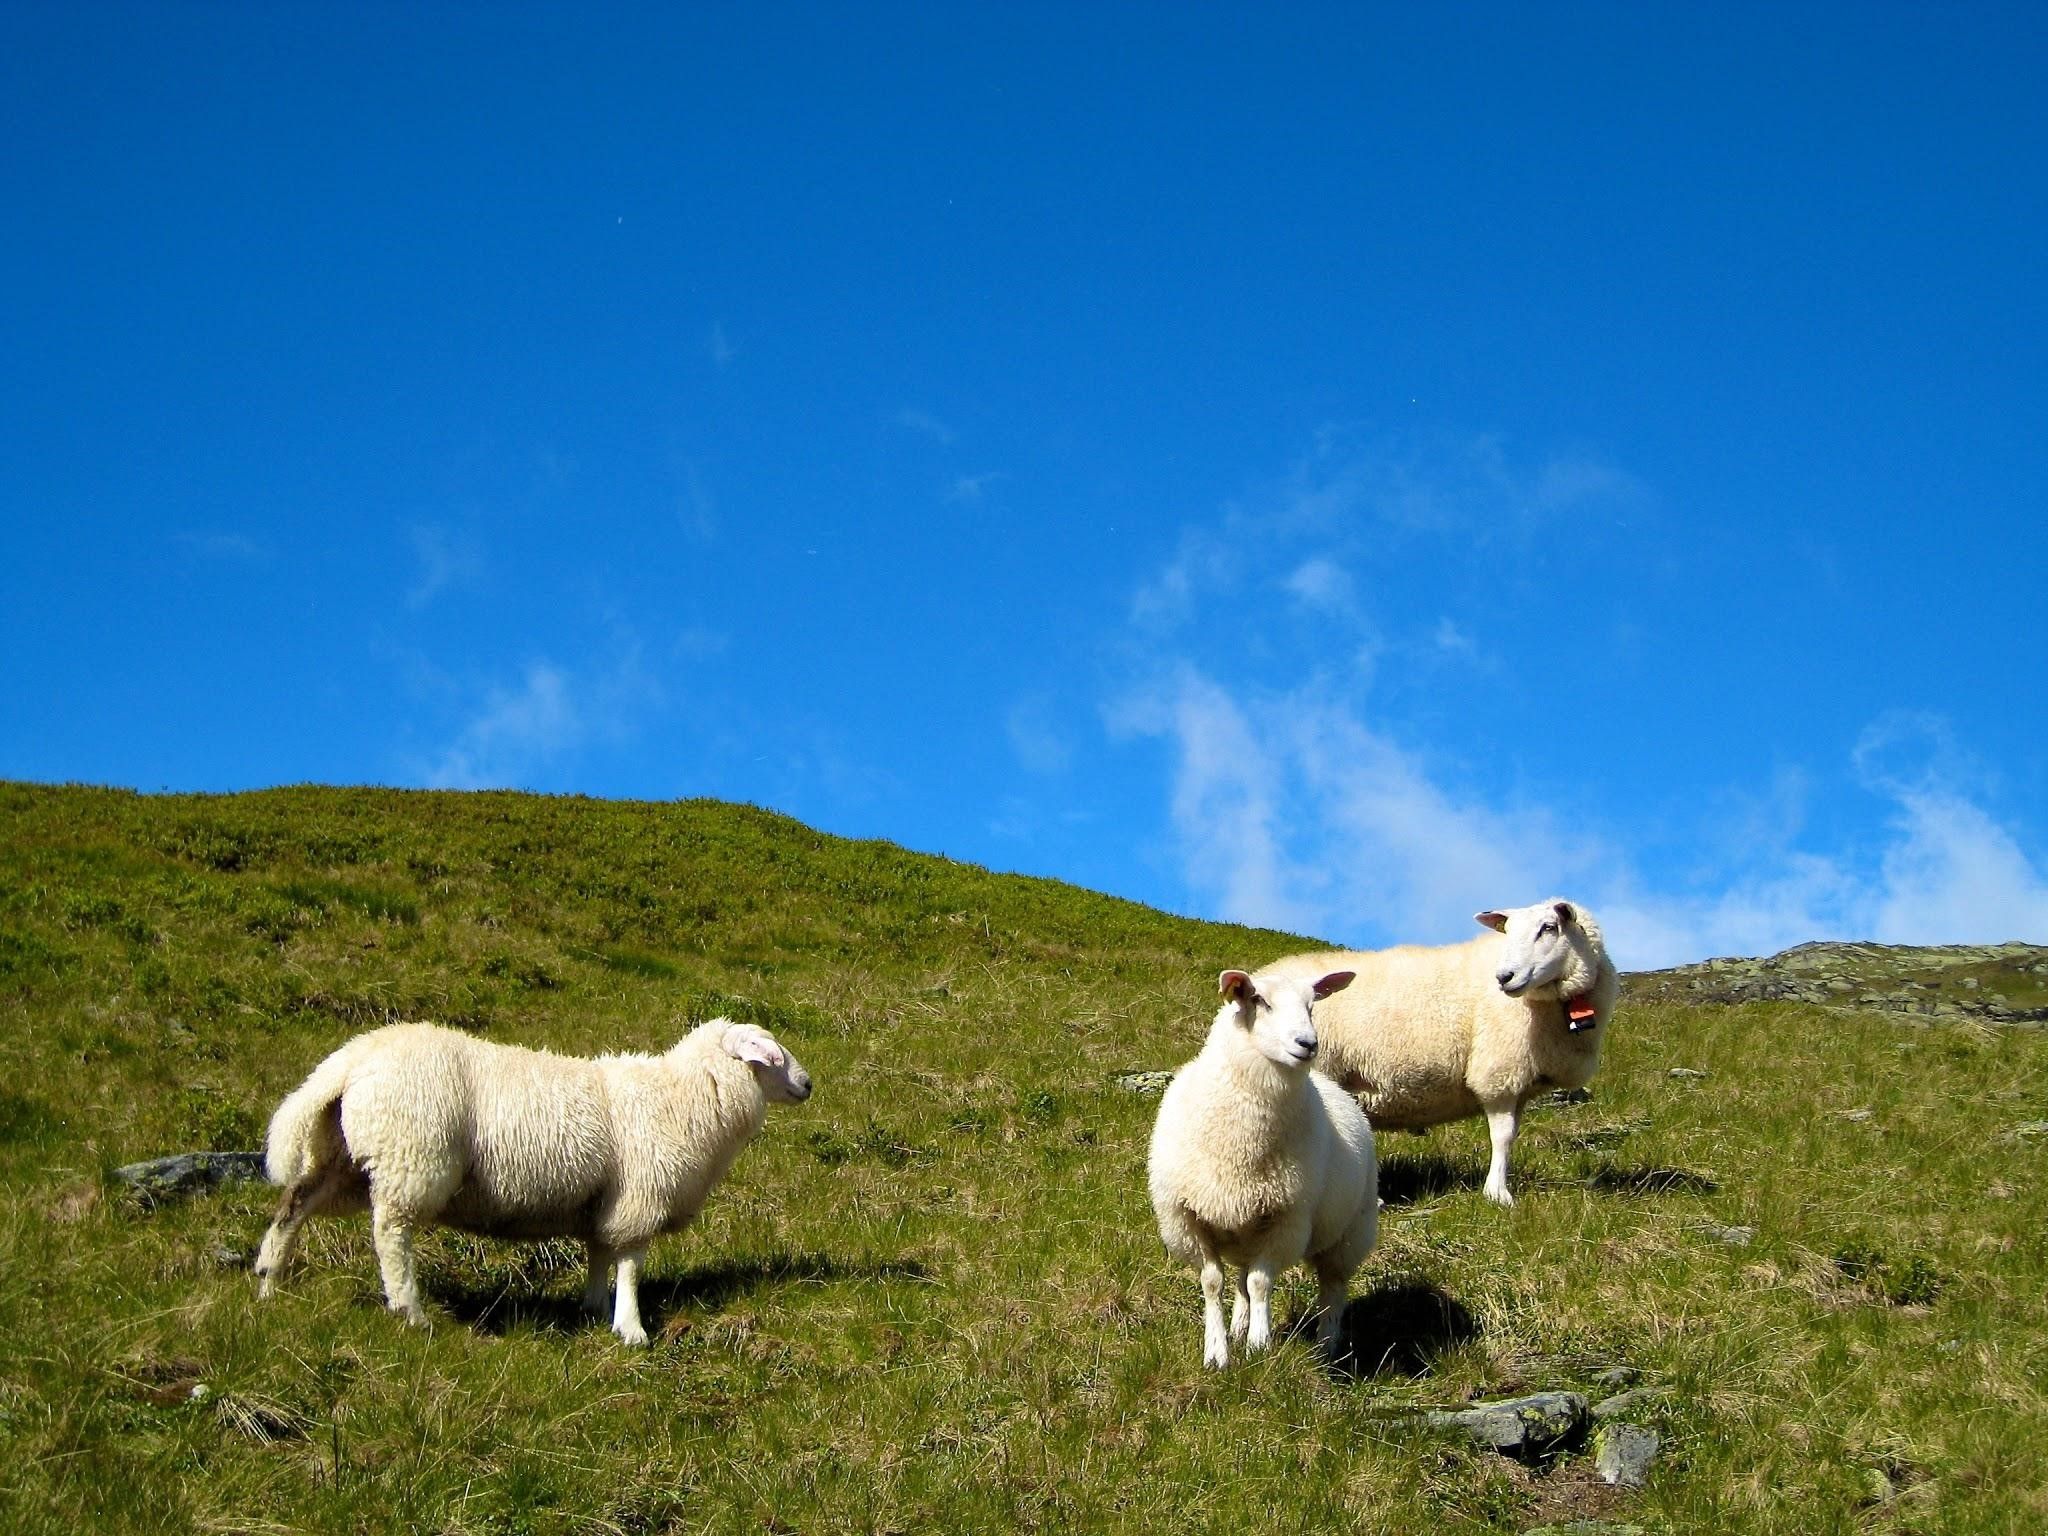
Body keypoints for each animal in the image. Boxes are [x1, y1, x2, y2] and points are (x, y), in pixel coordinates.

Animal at [253, 1016, 812, 1344]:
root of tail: (352, 1058)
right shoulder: (639, 1197)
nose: (808, 1084)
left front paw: (594, 1307)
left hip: (340, 1155)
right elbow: (630, 1265)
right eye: (773, 1053)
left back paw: (268, 1282)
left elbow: (599, 1254)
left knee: (293, 1207)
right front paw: (631, 1329)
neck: (681, 1096)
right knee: (391, 1234)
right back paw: (411, 1311)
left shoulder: (604, 1201)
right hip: (411, 1157)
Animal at [1148, 966, 1377, 1369]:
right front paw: (1218, 1351)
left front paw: (1259, 1344)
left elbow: (1261, 1283)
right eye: (1259, 1000)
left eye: (1312, 1005)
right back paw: (1239, 1326)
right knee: (1241, 1278)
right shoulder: (1187, 1220)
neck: (1240, 1146)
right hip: (1245, 1228)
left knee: (1332, 1288)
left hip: (1351, 1230)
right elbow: (1214, 1282)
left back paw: (1326, 1348)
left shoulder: (1287, 1218)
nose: (1308, 1044)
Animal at [1267, 898, 1616, 1207]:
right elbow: (1502, 1136)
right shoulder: (1498, 1072)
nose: (1505, 977)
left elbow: (1512, 1134)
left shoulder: (1519, 1081)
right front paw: (1497, 1194)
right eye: (1508, 931)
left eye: (1548, 927)